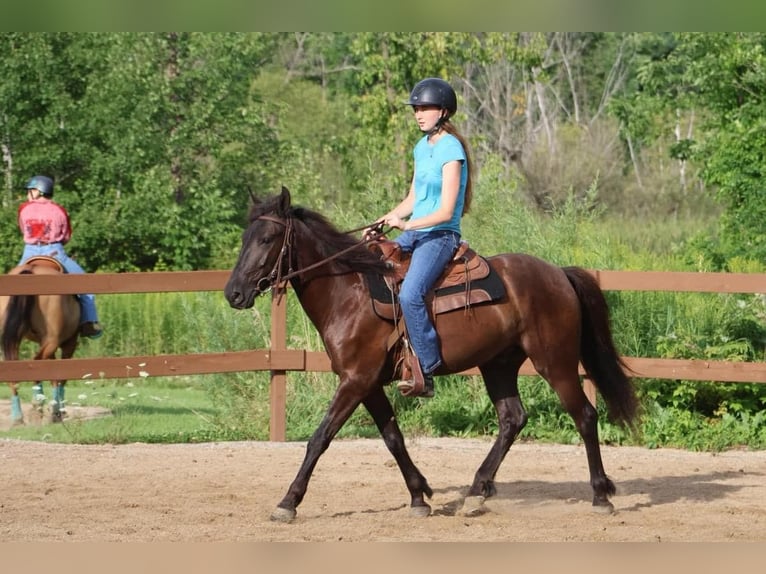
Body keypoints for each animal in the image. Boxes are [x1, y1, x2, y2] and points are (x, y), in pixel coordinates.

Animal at [0, 256, 80, 424]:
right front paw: (58, 412)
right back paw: (38, 406)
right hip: (52, 341)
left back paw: (18, 417)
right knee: (35, 363)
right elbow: (61, 377)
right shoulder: (69, 343)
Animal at [225, 188, 640, 520]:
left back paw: (600, 495)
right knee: (512, 419)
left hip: (556, 362)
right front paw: (419, 495)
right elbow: (393, 438)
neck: (348, 292)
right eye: (245, 237)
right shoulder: (368, 384)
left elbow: (319, 438)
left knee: (584, 416)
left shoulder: (355, 381)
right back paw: (476, 491)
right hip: (498, 365)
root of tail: (558, 273)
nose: (233, 293)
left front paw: (288, 502)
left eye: (268, 238)